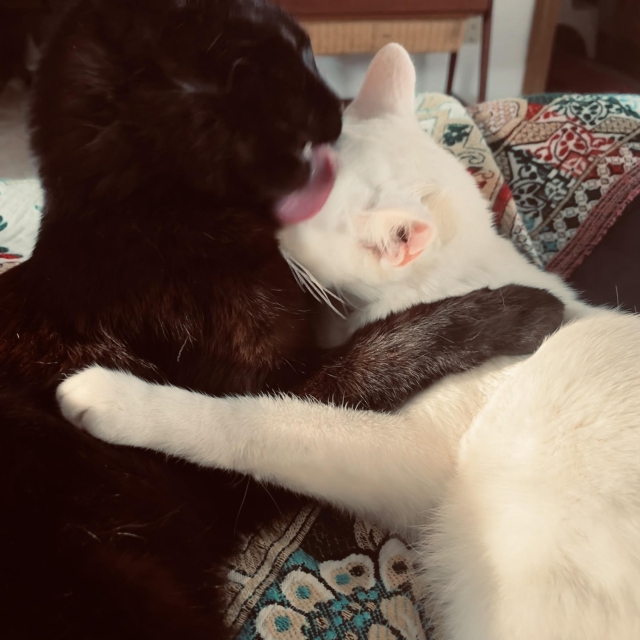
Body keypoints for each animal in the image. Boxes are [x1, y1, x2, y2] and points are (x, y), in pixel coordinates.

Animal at [0, 1, 564, 640]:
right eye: (294, 57)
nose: (336, 106)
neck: (144, 217)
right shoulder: (275, 399)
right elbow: (377, 352)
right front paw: (520, 307)